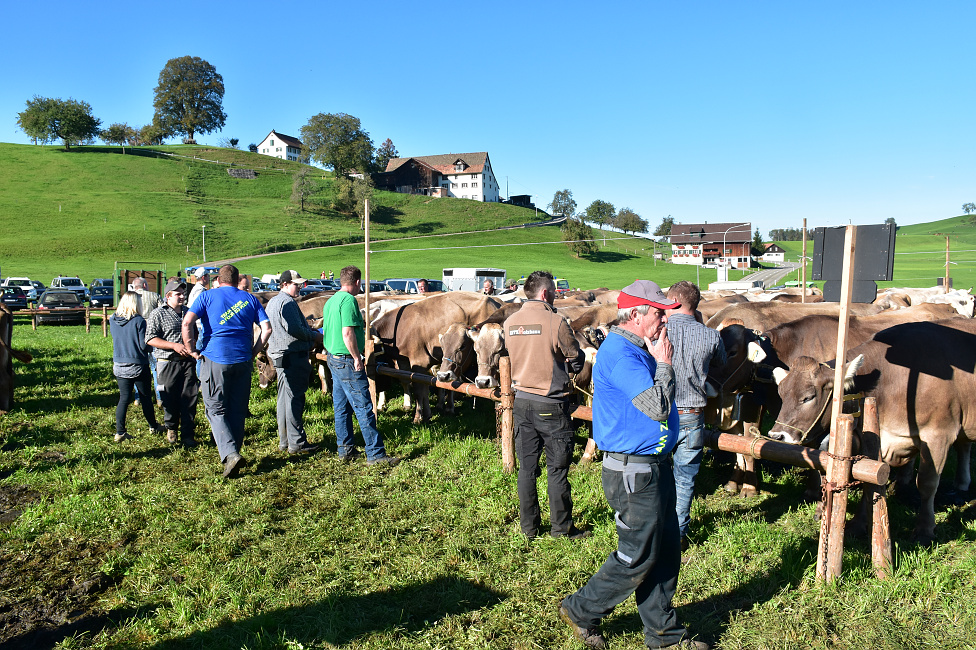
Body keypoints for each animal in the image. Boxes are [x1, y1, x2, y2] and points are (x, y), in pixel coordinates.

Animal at [768, 316, 976, 540]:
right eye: (781, 394)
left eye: (808, 397)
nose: (776, 435)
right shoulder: (875, 437)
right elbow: (869, 482)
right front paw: (858, 524)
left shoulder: (938, 434)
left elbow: (927, 483)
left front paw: (924, 530)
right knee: (964, 445)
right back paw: (962, 483)